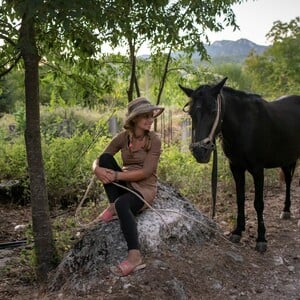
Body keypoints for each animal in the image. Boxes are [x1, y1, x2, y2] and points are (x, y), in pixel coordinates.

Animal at [179, 77, 300, 251]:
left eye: (214, 111)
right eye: (191, 113)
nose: (200, 151)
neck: (244, 126)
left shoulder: (257, 170)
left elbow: (258, 203)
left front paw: (261, 238)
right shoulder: (236, 167)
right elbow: (240, 199)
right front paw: (238, 231)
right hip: (285, 158)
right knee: (289, 180)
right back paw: (286, 210)